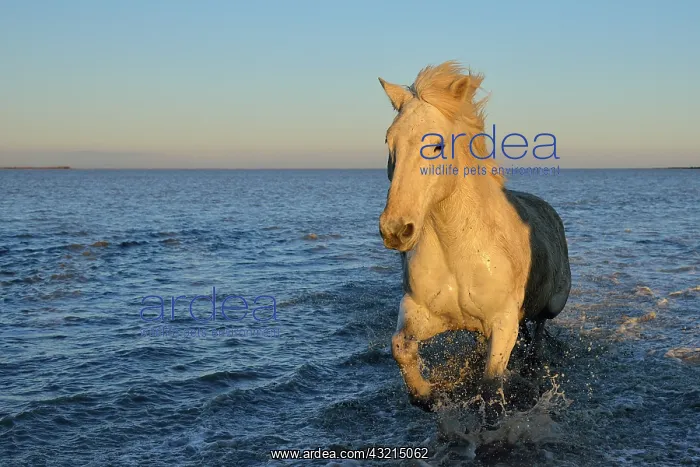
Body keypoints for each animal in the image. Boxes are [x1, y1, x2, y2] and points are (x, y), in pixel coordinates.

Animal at [377, 61, 571, 411]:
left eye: (436, 145)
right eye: (389, 141)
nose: (395, 230)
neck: (458, 248)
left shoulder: (504, 323)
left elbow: (491, 385)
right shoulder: (421, 310)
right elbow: (401, 348)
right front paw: (426, 396)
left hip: (552, 305)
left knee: (538, 332)